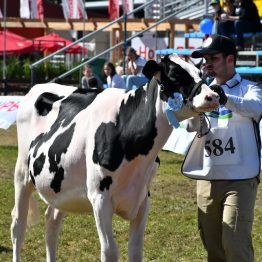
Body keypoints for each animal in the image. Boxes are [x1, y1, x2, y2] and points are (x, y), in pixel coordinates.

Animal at [10, 54, 223, 260]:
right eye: (175, 75)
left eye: (200, 73)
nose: (213, 96)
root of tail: (40, 86)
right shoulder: (99, 198)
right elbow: (109, 250)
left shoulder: (143, 198)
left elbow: (135, 249)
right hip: (22, 174)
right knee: (18, 226)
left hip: (61, 185)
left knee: (51, 223)